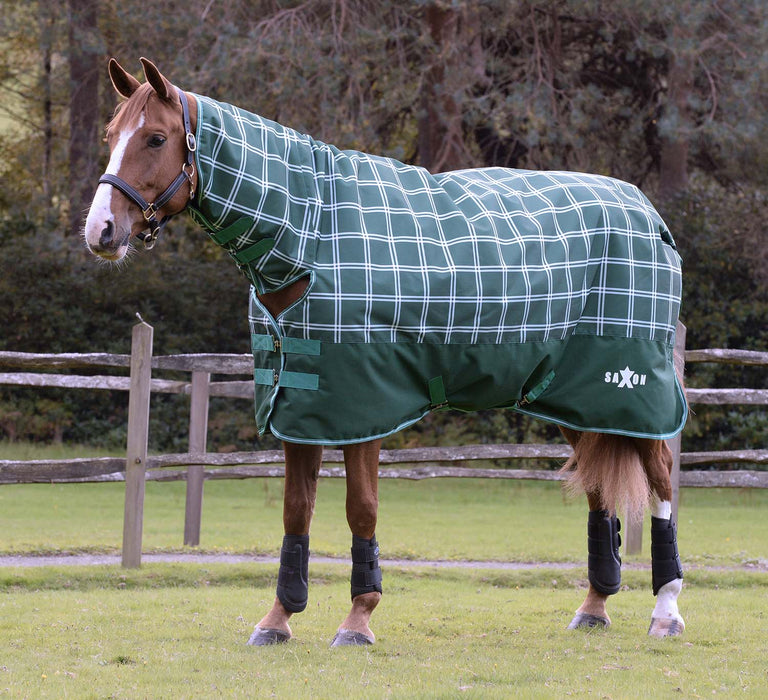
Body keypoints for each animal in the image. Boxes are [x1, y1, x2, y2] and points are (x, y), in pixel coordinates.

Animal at [83, 58, 687, 646]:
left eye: (156, 138)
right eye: (110, 136)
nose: (100, 231)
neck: (312, 236)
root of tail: (648, 214)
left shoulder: (361, 408)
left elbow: (361, 509)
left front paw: (358, 618)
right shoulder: (301, 408)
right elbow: (296, 511)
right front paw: (279, 618)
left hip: (629, 391)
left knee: (660, 477)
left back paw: (666, 610)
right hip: (574, 397)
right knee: (598, 488)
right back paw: (594, 607)